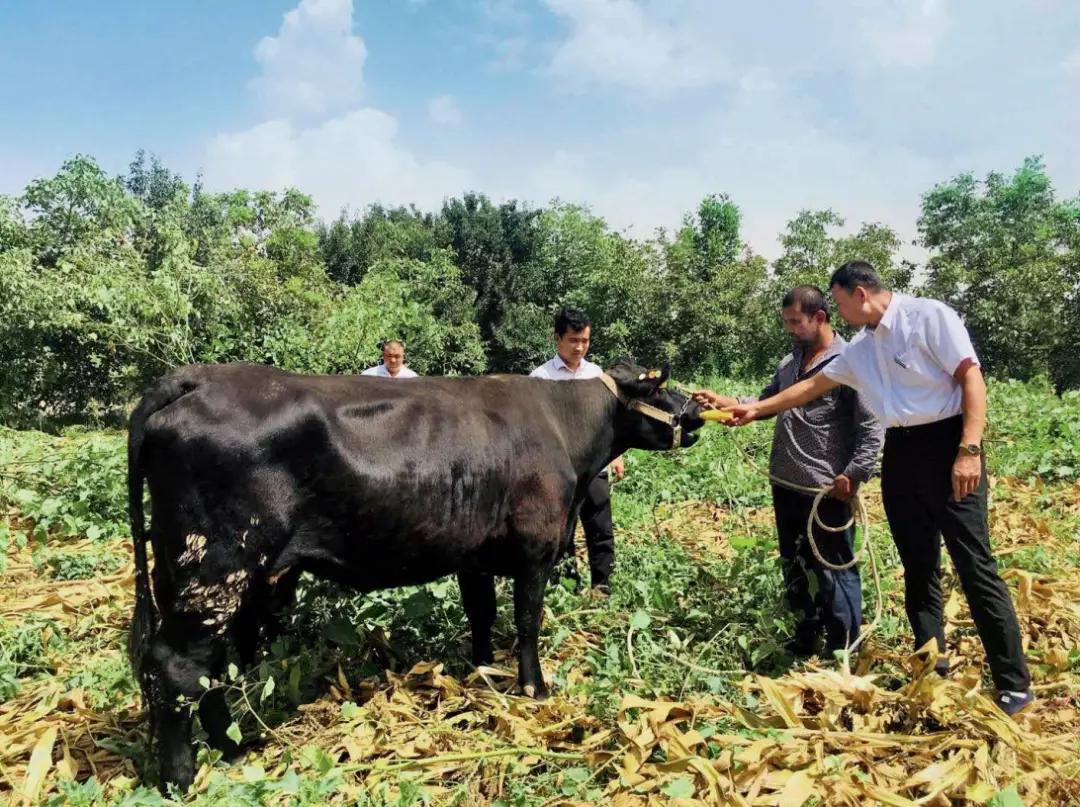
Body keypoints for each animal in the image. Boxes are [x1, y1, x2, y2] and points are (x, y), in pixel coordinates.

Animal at [126, 358, 704, 790]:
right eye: (661, 385)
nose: (698, 409)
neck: (563, 428)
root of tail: (194, 378)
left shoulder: (475, 557)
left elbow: (480, 615)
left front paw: (482, 673)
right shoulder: (535, 553)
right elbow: (526, 623)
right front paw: (533, 689)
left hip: (199, 575)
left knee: (207, 667)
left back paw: (232, 748)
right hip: (217, 566)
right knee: (178, 667)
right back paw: (183, 777)